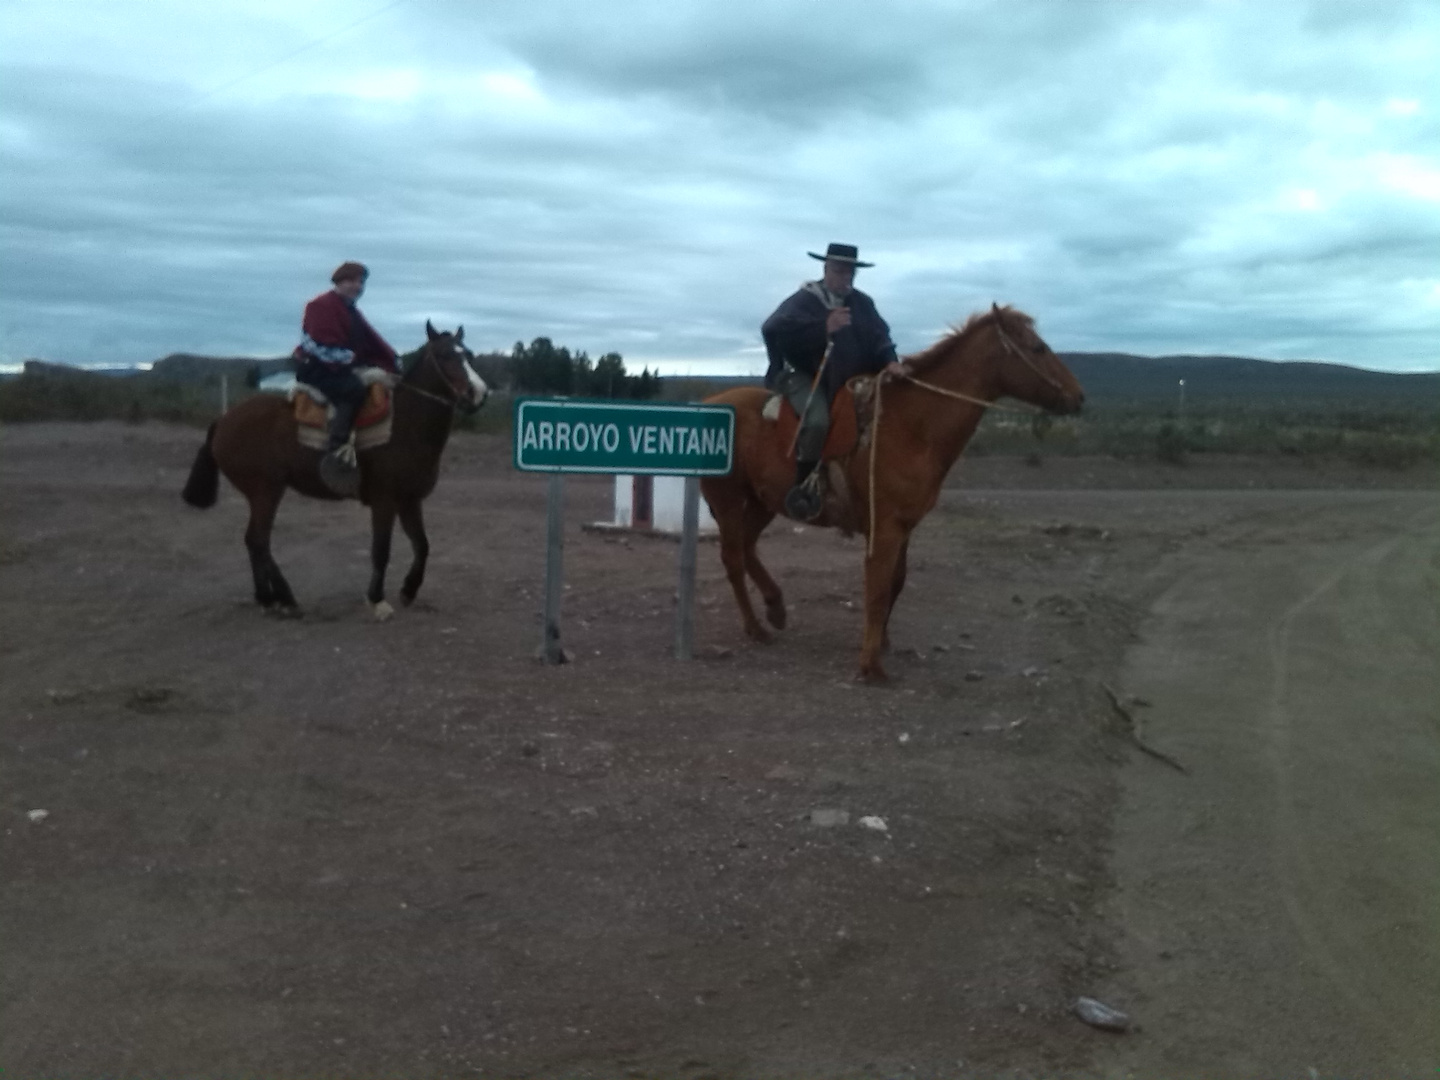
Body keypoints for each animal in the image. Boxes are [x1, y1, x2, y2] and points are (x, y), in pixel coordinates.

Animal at [182, 321, 489, 616]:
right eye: (445, 355)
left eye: (469, 354)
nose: (479, 393)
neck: (405, 423)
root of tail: (223, 420)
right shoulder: (385, 500)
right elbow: (381, 550)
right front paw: (377, 600)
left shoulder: (410, 500)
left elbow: (422, 545)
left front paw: (408, 590)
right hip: (266, 491)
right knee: (258, 540)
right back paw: (283, 597)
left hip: (263, 493)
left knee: (254, 541)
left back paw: (269, 599)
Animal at [702, 305, 1082, 679]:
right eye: (1037, 348)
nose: (1078, 397)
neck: (911, 428)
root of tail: (709, 402)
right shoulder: (884, 529)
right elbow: (878, 588)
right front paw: (871, 664)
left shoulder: (905, 527)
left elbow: (896, 582)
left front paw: (882, 640)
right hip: (728, 500)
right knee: (733, 558)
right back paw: (756, 627)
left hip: (763, 502)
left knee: (747, 548)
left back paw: (776, 607)